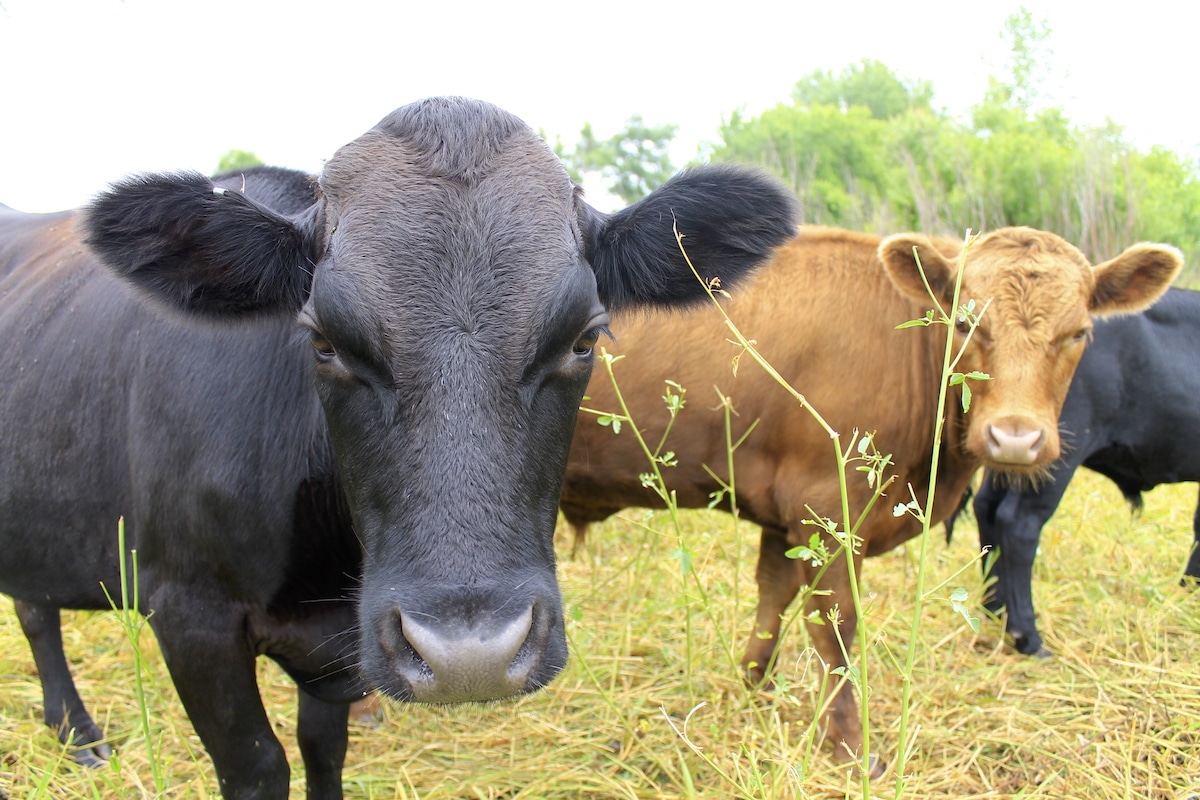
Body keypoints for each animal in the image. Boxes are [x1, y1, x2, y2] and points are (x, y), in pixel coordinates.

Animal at [0, 98, 796, 800]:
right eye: (324, 341)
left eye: (583, 338)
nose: (470, 658)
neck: (324, 574)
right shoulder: (190, 615)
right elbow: (258, 767)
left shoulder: (340, 651)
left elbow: (323, 751)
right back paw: (79, 734)